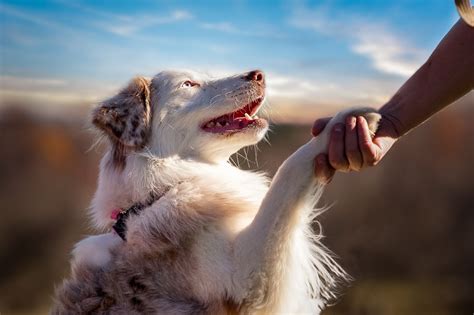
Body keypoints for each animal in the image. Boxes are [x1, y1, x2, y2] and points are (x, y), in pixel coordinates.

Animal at [51, 70, 382, 314]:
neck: (160, 191)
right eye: (188, 84)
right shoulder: (246, 281)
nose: (259, 74)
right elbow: (289, 173)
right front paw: (347, 122)